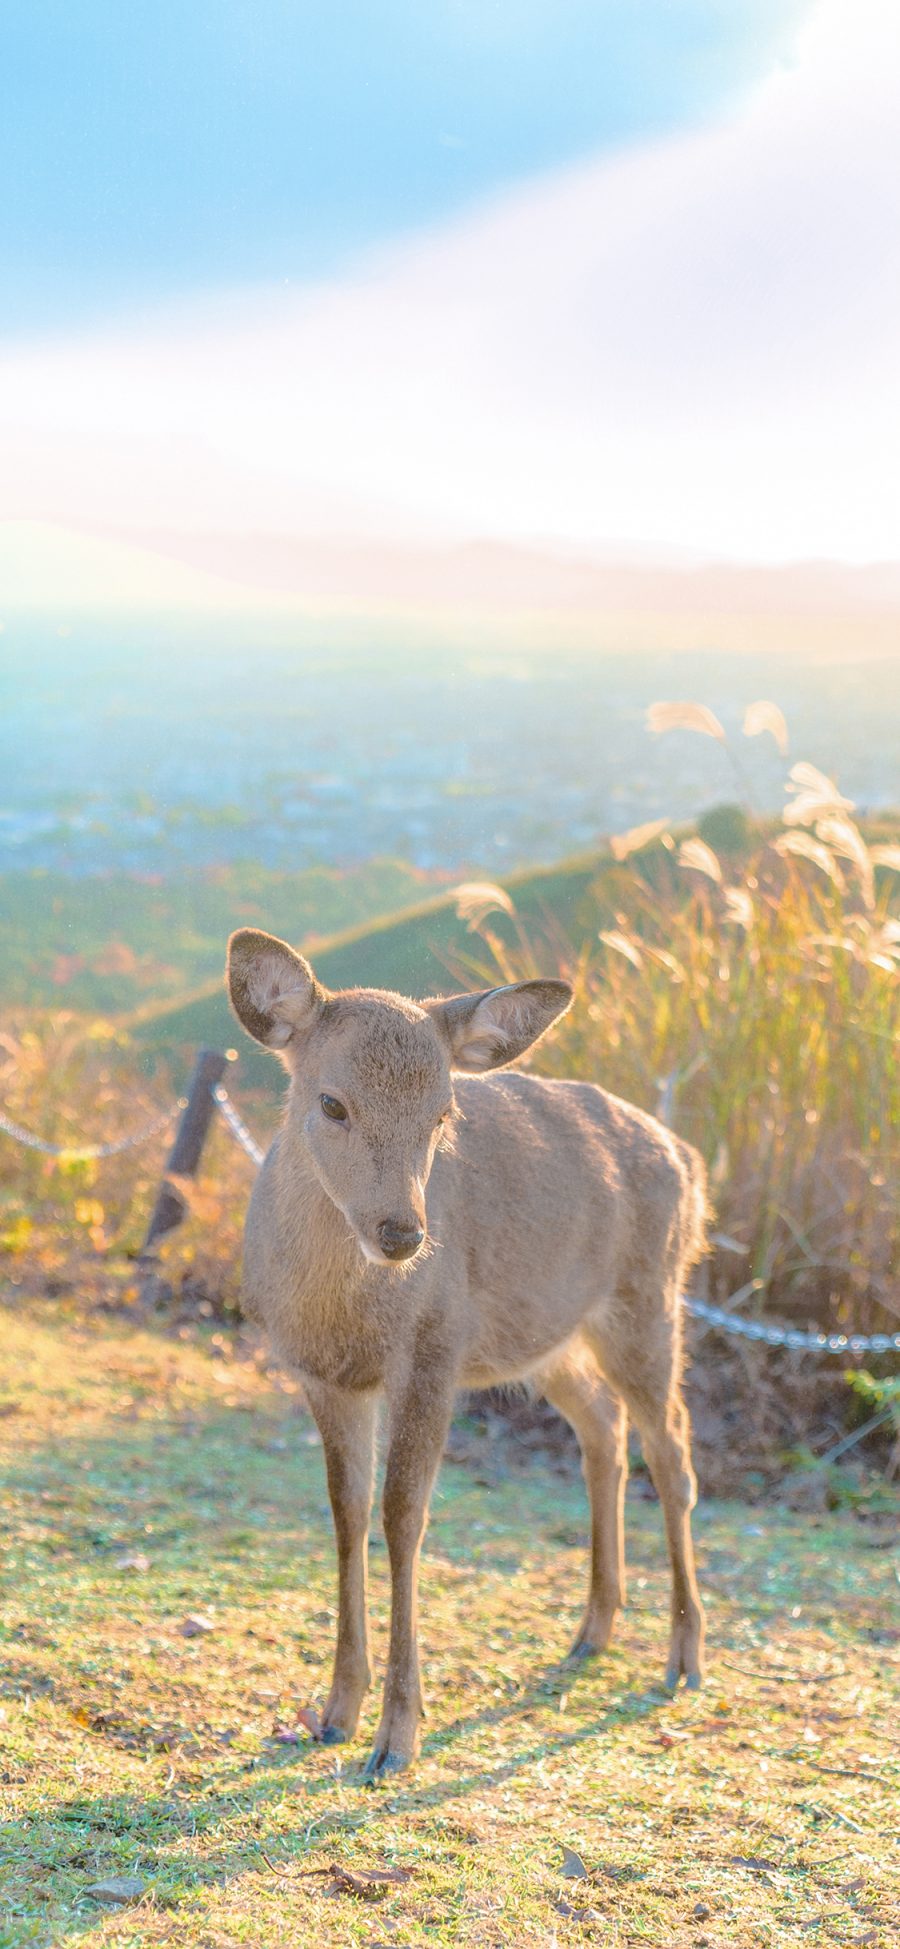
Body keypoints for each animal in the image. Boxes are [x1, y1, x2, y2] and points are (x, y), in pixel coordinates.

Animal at [225, 931, 701, 1785]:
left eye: (443, 1112)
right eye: (332, 1102)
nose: (403, 1233)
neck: (339, 1312)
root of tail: (690, 1158)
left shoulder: (435, 1349)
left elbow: (403, 1513)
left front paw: (396, 1735)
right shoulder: (322, 1374)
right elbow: (346, 1510)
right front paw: (335, 1710)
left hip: (648, 1300)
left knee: (673, 1451)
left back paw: (682, 1656)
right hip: (549, 1338)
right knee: (603, 1428)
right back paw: (592, 1630)